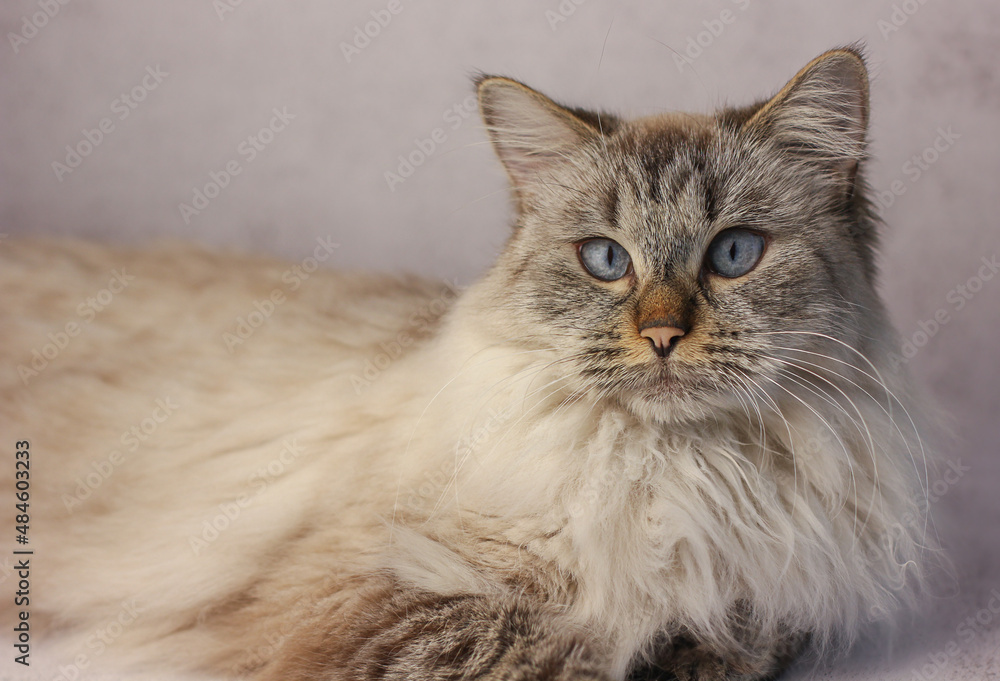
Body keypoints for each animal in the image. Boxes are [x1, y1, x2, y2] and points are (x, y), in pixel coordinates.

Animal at [3, 47, 932, 680]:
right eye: (606, 260)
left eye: (734, 253)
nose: (664, 335)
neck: (678, 475)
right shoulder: (378, 604)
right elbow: (569, 650)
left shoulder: (763, 600)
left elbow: (732, 640)